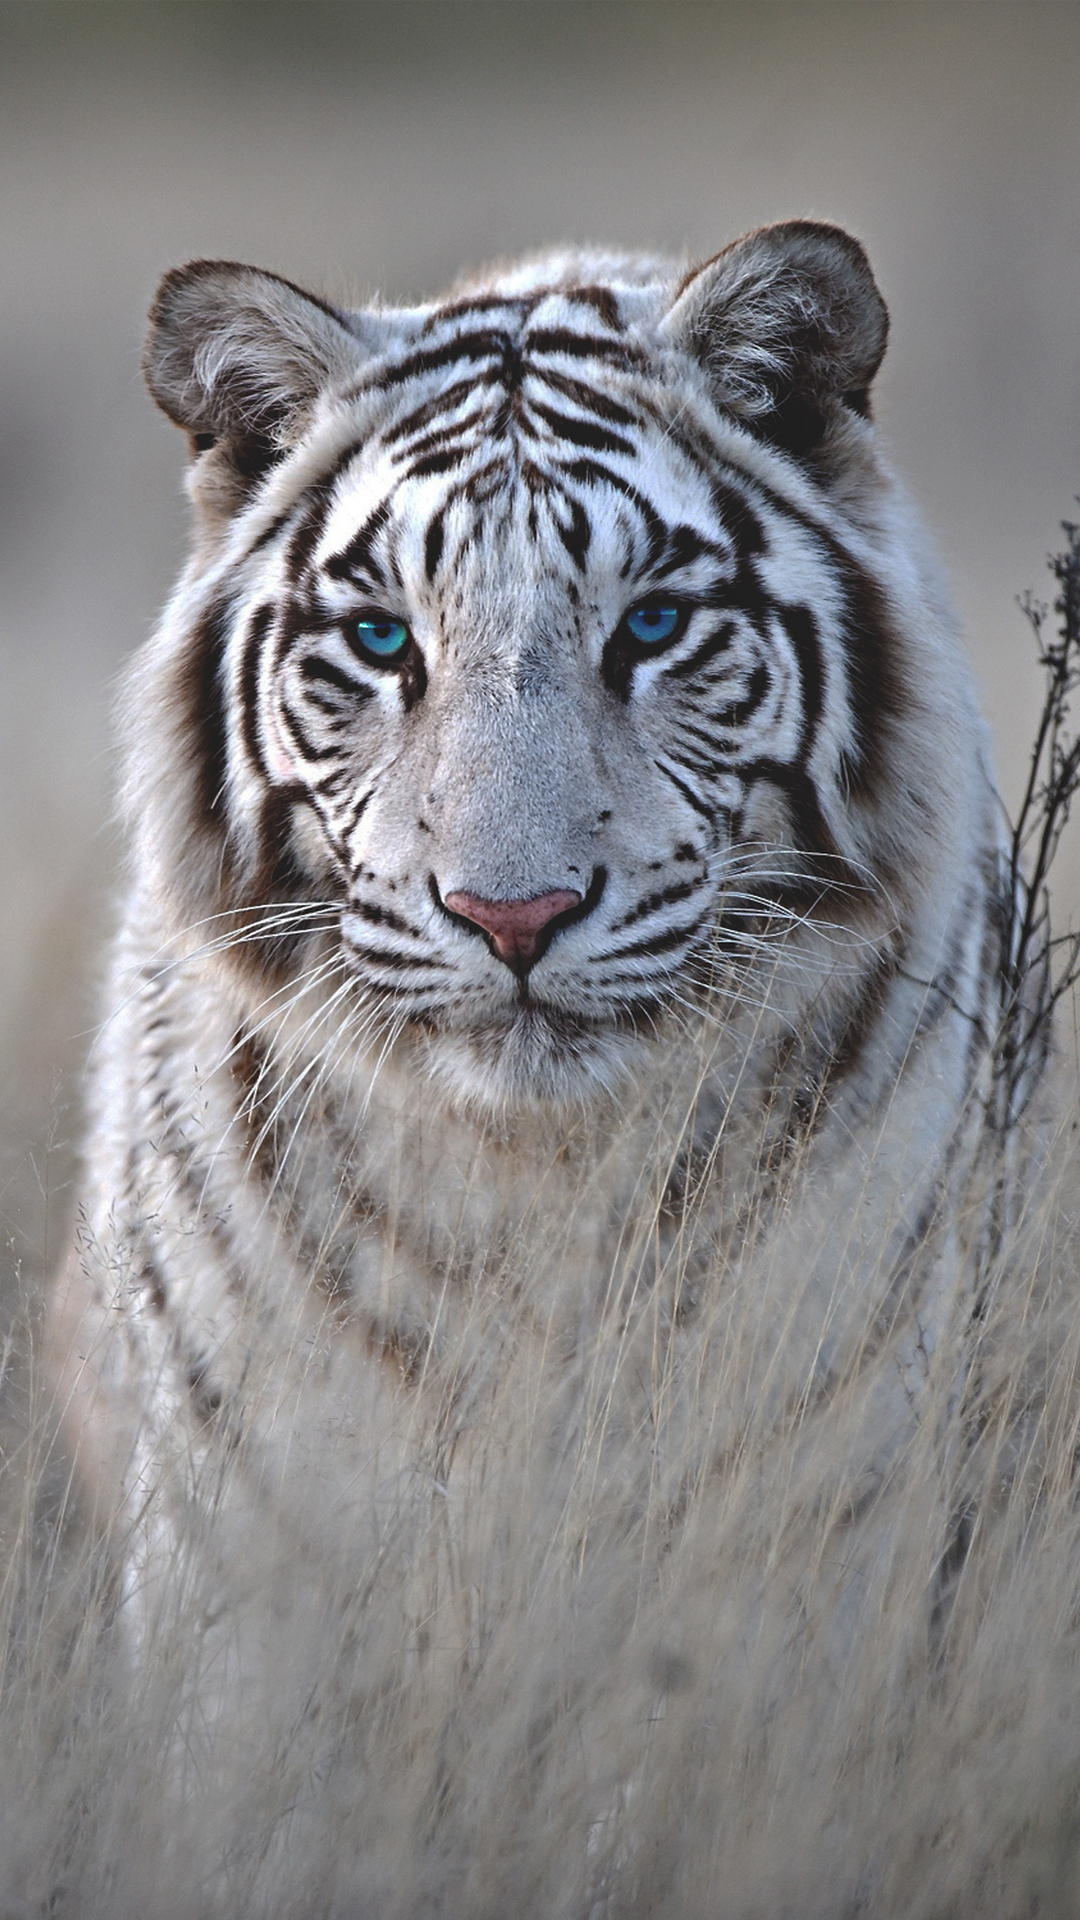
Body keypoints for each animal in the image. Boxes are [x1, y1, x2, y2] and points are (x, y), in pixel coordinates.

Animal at [50, 221, 1031, 1695]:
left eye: (653, 626)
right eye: (383, 638)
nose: (515, 915)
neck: (539, 1189)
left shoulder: (817, 1546)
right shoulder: (253, 1576)